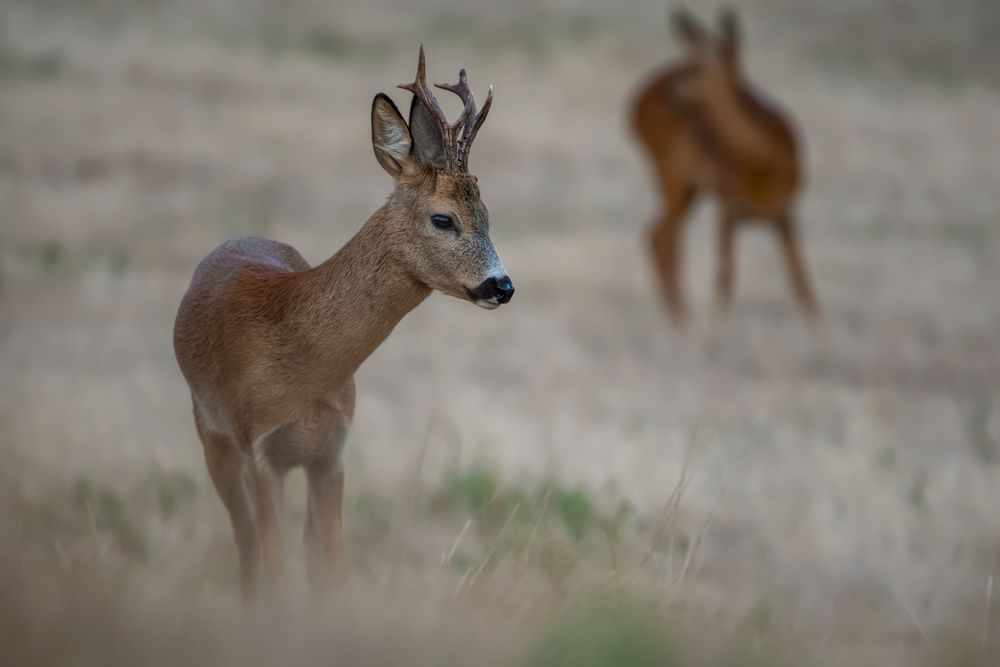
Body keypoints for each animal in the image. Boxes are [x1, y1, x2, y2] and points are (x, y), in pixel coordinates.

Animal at [172, 47, 512, 600]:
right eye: (444, 218)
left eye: (488, 215)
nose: (502, 286)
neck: (304, 367)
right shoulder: (259, 449)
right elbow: (276, 567)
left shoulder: (332, 452)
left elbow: (330, 566)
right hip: (212, 432)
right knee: (247, 544)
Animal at [632, 6, 820, 324]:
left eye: (697, 66)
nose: (673, 92)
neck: (766, 164)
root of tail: (632, 104)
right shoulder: (729, 205)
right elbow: (725, 280)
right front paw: (714, 336)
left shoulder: (786, 210)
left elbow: (803, 285)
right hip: (670, 172)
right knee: (667, 240)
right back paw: (680, 322)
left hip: (690, 188)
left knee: (658, 235)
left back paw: (678, 319)